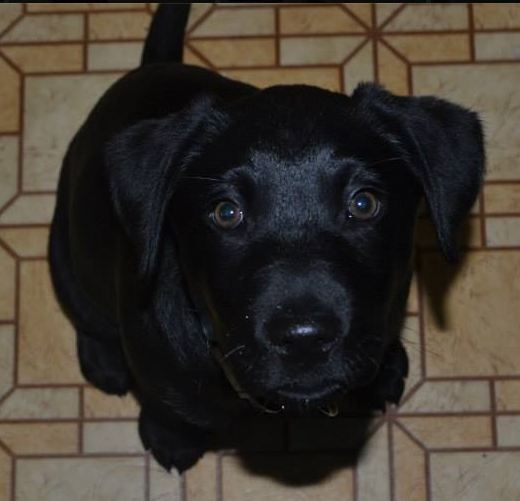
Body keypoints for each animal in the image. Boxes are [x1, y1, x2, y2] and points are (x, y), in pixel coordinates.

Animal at [47, 4, 484, 472]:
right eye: (226, 213)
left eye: (364, 203)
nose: (304, 339)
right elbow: (169, 408)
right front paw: (171, 440)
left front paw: (383, 368)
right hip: (66, 257)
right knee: (88, 316)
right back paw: (103, 360)